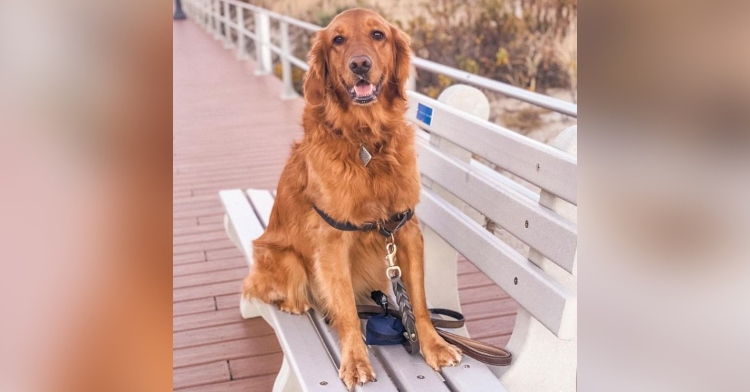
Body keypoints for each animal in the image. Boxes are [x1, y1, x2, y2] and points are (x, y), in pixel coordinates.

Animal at [244, 8, 462, 388]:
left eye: (377, 35)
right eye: (338, 40)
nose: (360, 64)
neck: (365, 140)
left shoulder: (405, 228)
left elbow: (419, 300)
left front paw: (433, 344)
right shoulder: (333, 239)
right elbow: (344, 306)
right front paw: (356, 360)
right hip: (283, 258)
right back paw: (296, 303)